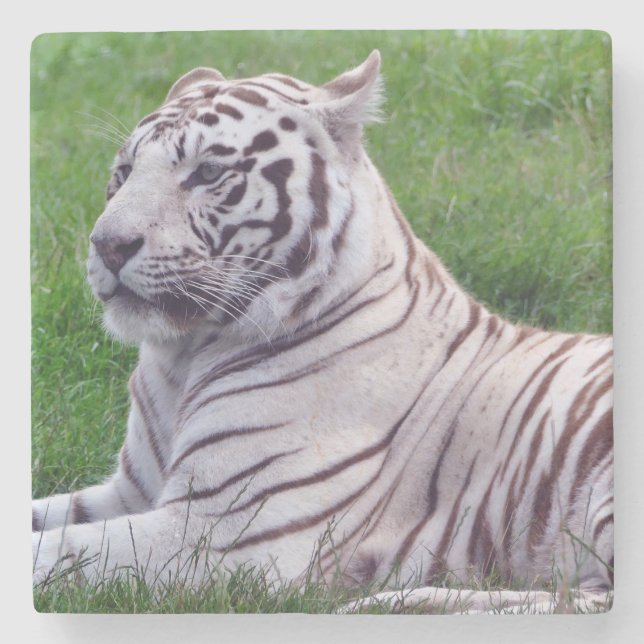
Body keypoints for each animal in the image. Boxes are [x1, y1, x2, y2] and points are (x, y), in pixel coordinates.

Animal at [32, 50, 613, 614]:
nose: (107, 244)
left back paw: (395, 603)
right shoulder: (132, 492)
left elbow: (53, 553)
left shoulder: (219, 533)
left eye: (208, 171)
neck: (183, 356)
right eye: (124, 170)